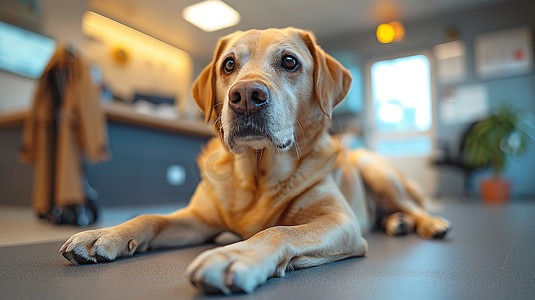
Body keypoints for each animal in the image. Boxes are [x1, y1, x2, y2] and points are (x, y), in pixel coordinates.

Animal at [60, 28, 450, 296]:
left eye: (290, 61)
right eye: (229, 64)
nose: (246, 95)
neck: (258, 173)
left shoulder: (341, 221)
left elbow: (278, 230)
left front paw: (235, 256)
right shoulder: (198, 220)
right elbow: (150, 218)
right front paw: (106, 234)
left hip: (376, 169)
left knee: (414, 205)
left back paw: (428, 223)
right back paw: (397, 223)